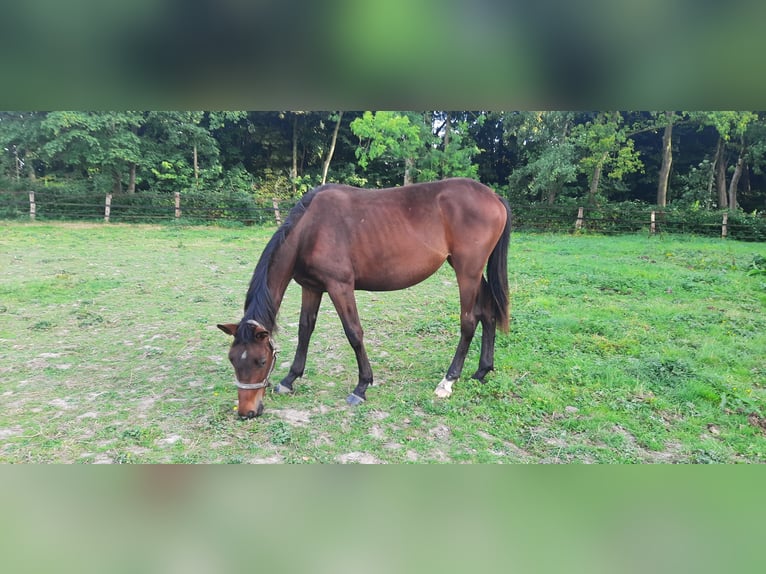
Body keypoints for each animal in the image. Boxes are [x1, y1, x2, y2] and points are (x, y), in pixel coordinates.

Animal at [219, 178, 512, 420]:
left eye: (261, 361)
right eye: (233, 359)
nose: (246, 412)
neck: (310, 229)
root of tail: (494, 196)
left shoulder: (340, 287)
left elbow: (353, 333)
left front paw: (361, 387)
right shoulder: (312, 288)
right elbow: (305, 330)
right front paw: (290, 378)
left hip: (467, 272)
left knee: (469, 322)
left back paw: (448, 381)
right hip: (472, 272)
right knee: (488, 313)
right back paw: (482, 371)